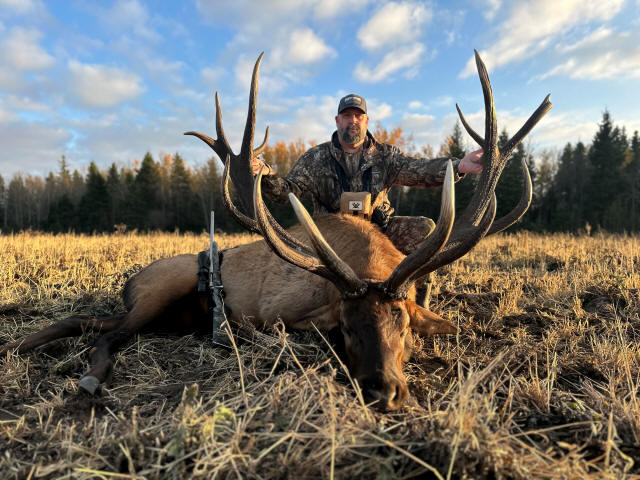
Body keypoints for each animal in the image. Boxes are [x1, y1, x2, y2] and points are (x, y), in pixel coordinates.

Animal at [0, 52, 551, 411]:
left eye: (404, 324)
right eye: (345, 326)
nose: (383, 390)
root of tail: (131, 280)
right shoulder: (278, 313)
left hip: (164, 314)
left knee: (87, 321)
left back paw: (21, 346)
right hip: (161, 292)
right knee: (108, 334)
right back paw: (88, 379)